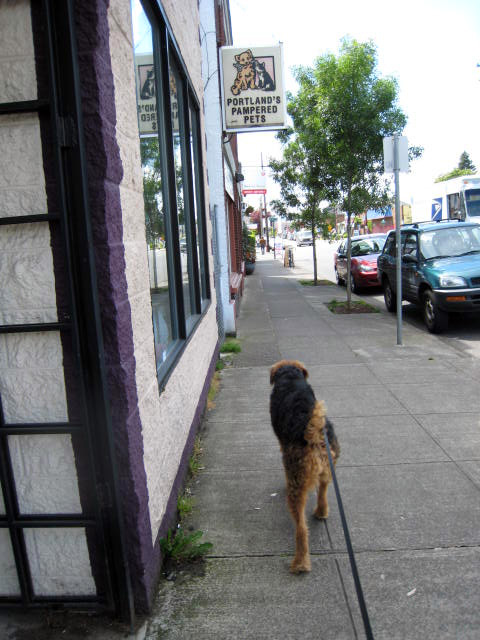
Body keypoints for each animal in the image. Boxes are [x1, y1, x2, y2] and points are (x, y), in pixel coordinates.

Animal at [270, 360, 342, 576]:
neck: (290, 377)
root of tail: (314, 433)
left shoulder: (282, 444)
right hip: (329, 466)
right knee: (323, 491)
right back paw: (321, 511)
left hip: (297, 483)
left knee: (301, 528)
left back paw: (300, 563)